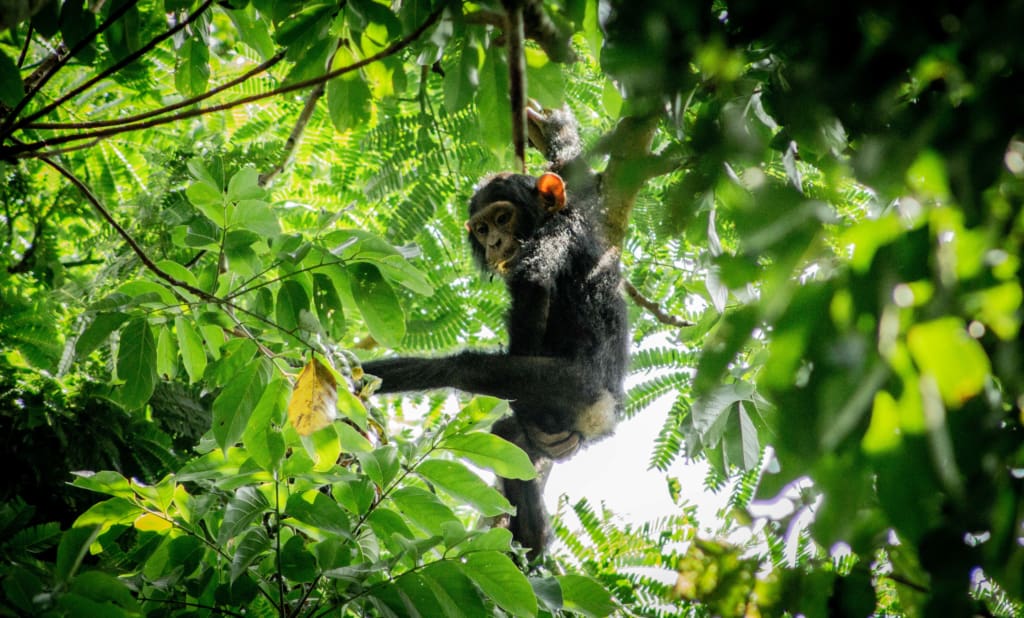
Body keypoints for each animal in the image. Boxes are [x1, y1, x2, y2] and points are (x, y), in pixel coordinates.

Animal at [364, 107, 626, 560]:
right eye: (482, 229)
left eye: (503, 218)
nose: (495, 243)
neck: (553, 216)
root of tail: (604, 412)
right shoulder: (582, 206)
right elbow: (576, 173)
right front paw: (554, 128)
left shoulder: (555, 235)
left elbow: (532, 283)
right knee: (508, 436)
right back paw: (532, 536)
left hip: (569, 386)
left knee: (466, 370)